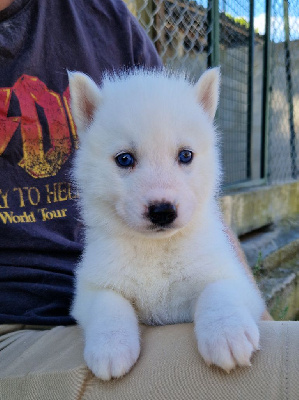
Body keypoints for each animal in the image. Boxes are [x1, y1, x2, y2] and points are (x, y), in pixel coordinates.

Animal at [69, 69, 266, 382]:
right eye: (124, 159)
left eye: (185, 155)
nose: (162, 211)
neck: (156, 249)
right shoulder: (92, 285)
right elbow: (109, 304)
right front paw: (111, 346)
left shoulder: (234, 277)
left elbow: (218, 290)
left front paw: (227, 332)